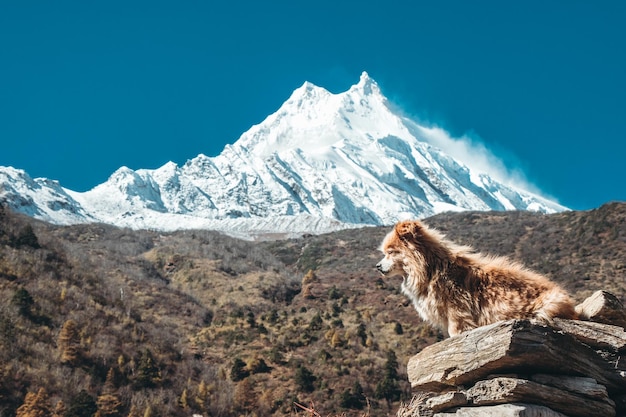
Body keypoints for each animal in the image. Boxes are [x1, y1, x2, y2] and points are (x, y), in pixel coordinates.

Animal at [376, 219, 576, 336]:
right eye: (385, 253)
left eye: (391, 252)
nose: (377, 266)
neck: (432, 269)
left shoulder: (457, 314)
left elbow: (455, 332)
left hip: (547, 307)